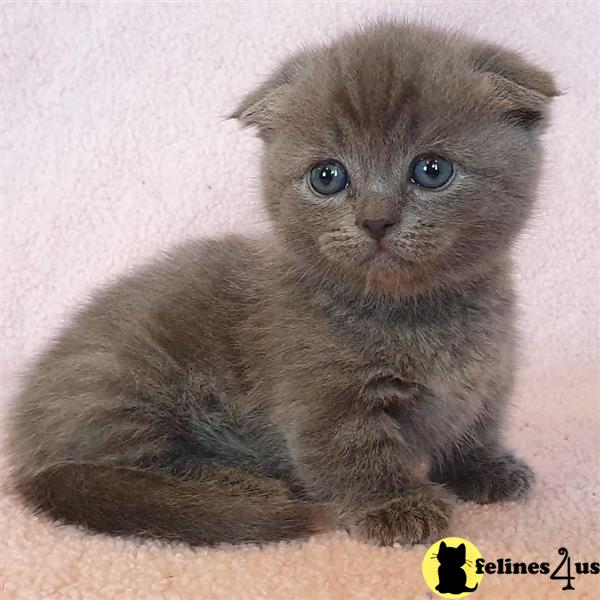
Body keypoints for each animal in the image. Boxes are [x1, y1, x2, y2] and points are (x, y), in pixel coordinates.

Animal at [5, 22, 556, 548]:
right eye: (328, 176)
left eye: (432, 170)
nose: (376, 220)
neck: (419, 311)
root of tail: (23, 446)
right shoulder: (323, 396)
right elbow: (352, 453)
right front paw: (393, 506)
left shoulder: (491, 376)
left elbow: (475, 427)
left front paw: (485, 468)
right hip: (128, 381)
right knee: (134, 470)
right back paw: (250, 484)